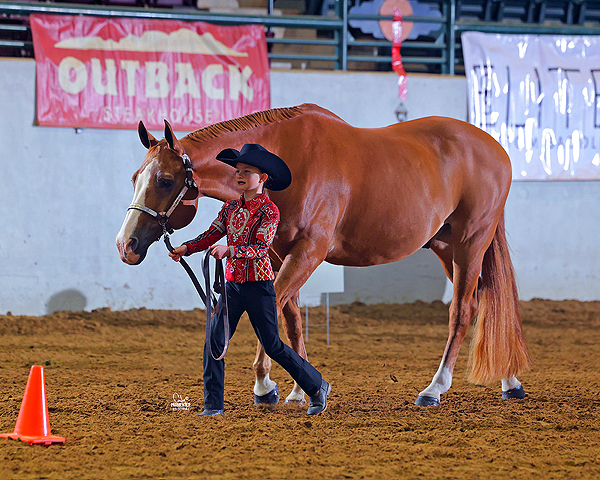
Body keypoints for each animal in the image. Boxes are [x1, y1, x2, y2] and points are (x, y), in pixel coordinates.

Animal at [116, 103, 528, 406]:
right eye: (135, 177)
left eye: (165, 180)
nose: (125, 246)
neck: (288, 161)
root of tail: (496, 148)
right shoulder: (278, 254)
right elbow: (290, 319)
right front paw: (300, 390)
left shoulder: (310, 251)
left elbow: (270, 312)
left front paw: (266, 386)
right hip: (446, 246)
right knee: (485, 299)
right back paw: (509, 380)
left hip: (471, 241)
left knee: (463, 309)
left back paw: (434, 389)